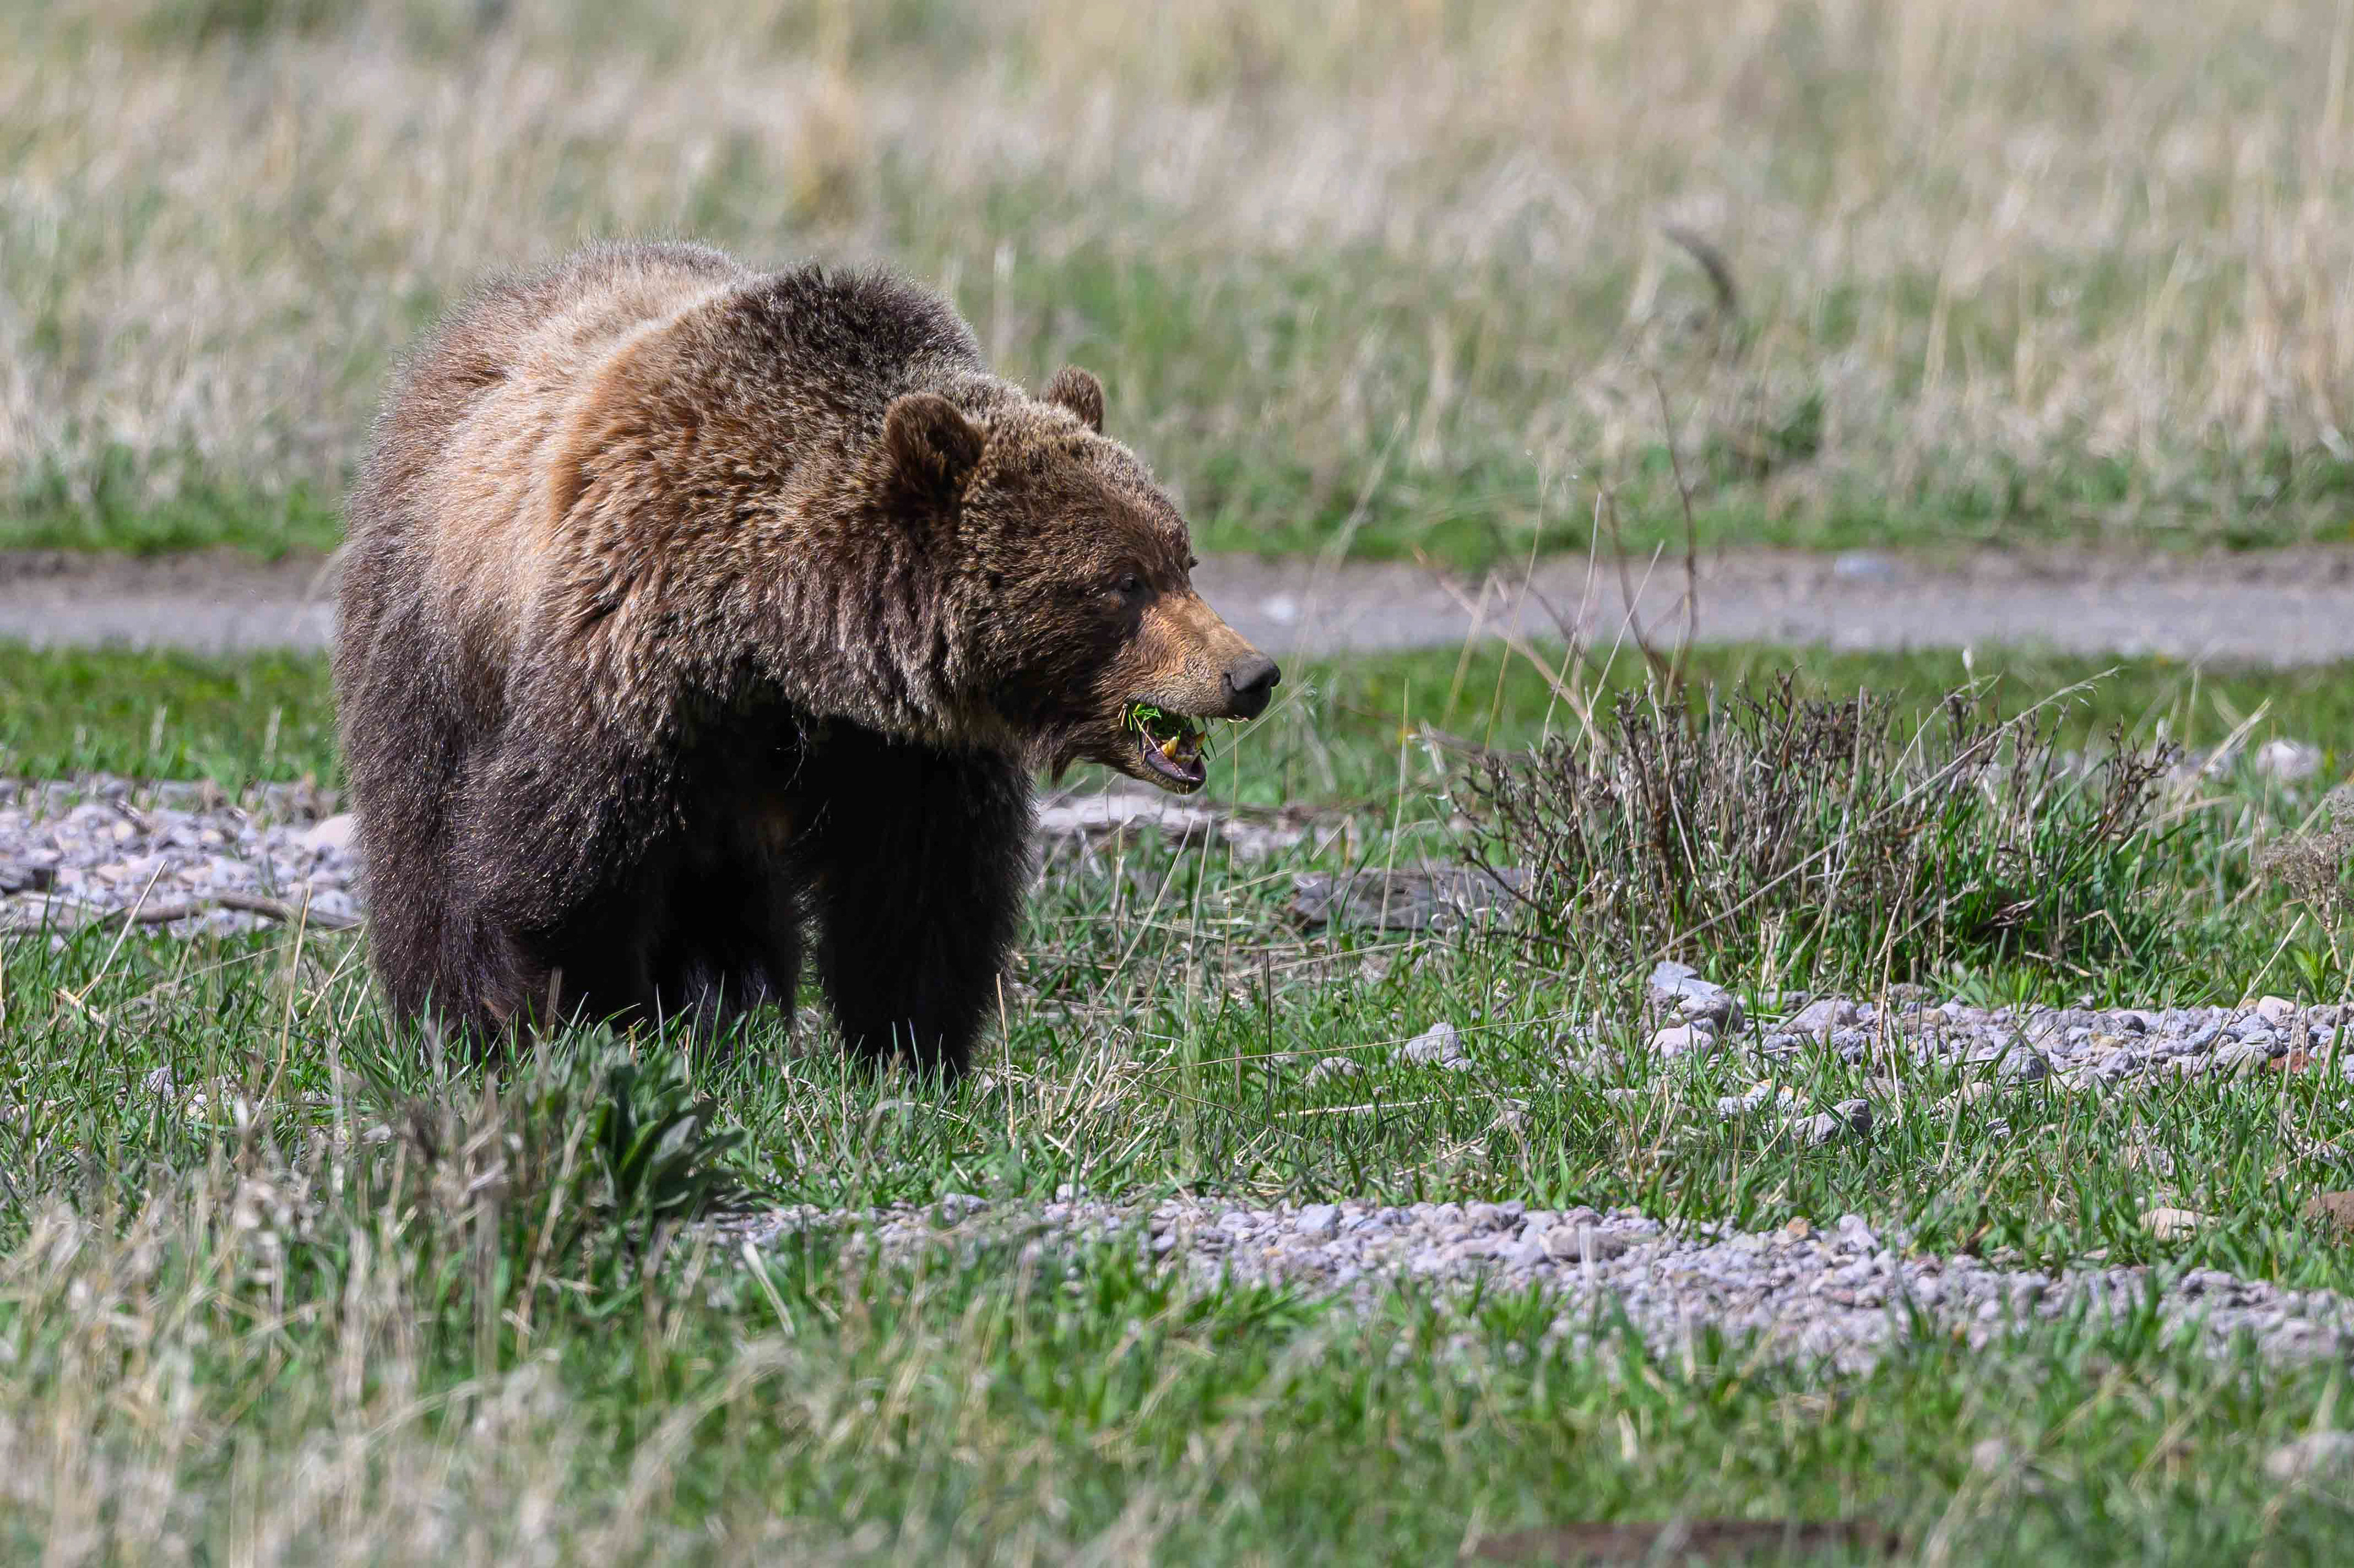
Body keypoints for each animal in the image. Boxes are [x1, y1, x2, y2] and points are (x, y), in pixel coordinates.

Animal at [334, 240, 1279, 1077]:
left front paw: (906, 1055)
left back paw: (727, 1007)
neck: (787, 638)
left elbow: (921, 899)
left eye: (1182, 559)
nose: (1250, 674)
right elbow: (561, 862)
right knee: (425, 830)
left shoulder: (908, 750)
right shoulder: (629, 661)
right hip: (439, 632)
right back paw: (452, 1012)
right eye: (1121, 582)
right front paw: (574, 1019)